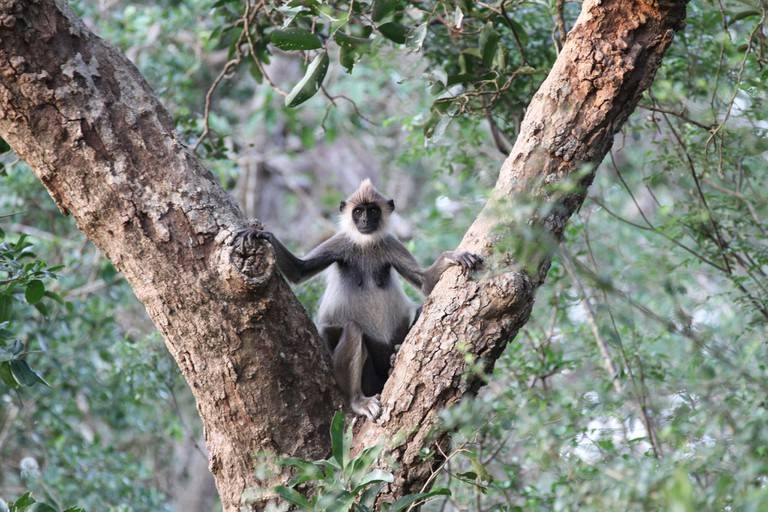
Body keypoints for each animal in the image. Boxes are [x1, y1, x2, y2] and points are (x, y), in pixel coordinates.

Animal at [237, 178, 484, 418]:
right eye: (358, 212)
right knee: (353, 329)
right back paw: (358, 400)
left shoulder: (389, 244)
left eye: (373, 210)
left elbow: (426, 283)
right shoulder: (342, 242)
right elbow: (299, 271)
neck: (365, 243)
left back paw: (394, 356)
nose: (365, 220)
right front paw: (263, 235)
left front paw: (453, 257)